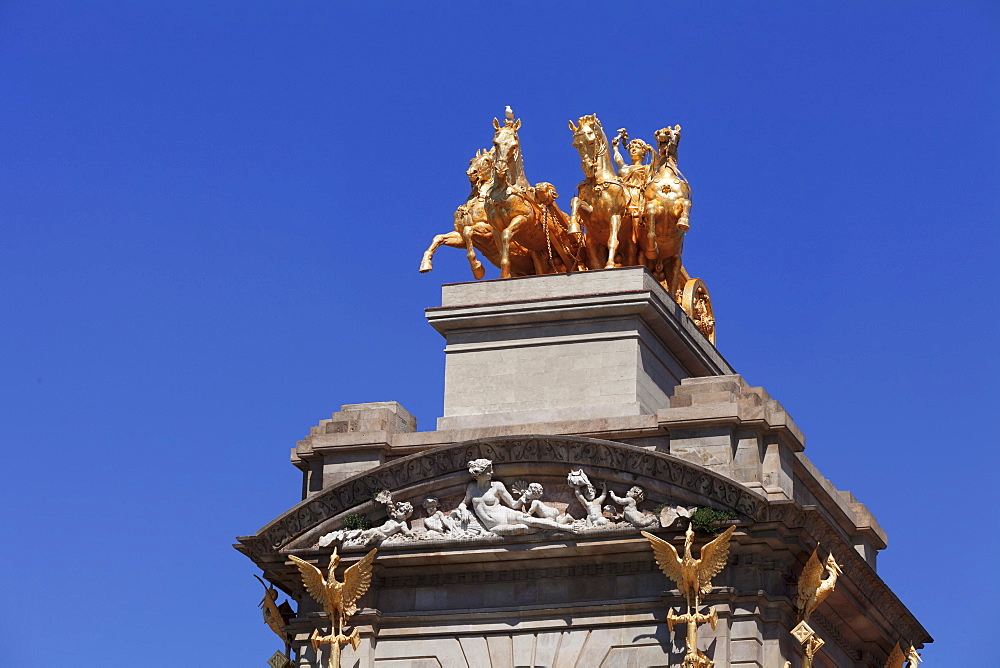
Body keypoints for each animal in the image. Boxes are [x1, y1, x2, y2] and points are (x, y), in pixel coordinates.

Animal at [568, 114, 636, 268]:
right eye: (575, 145)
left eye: (591, 142)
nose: (587, 168)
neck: (598, 183)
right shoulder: (591, 216)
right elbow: (575, 201)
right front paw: (573, 226)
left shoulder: (615, 216)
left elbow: (612, 240)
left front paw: (610, 264)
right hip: (592, 247)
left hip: (630, 248)